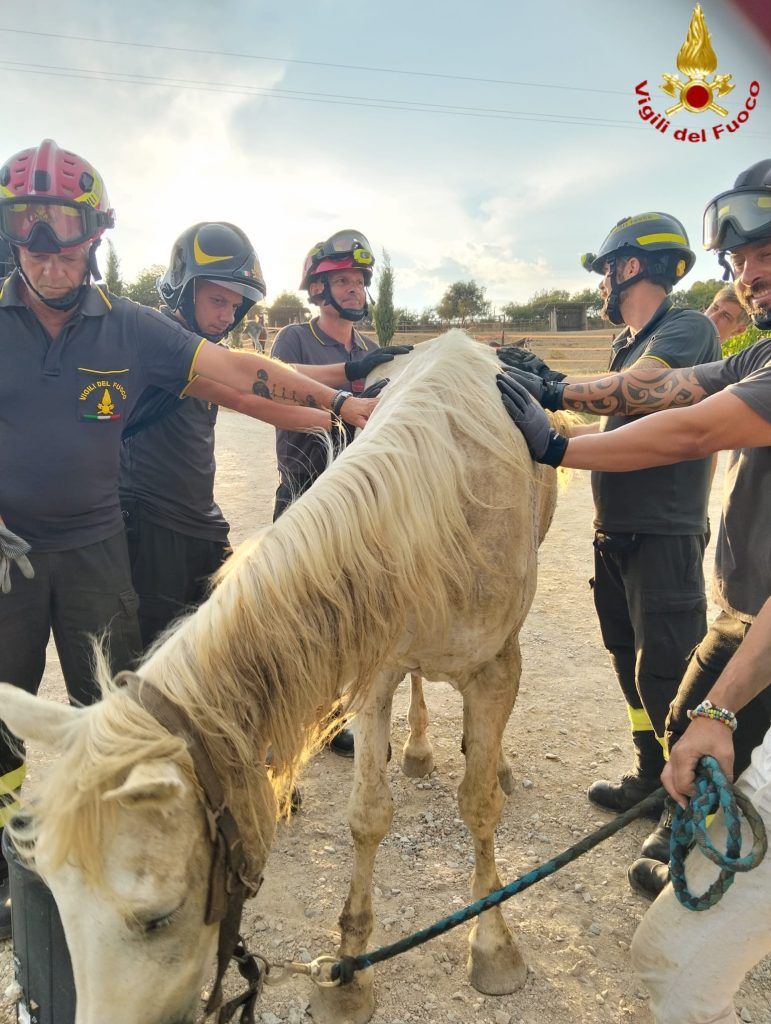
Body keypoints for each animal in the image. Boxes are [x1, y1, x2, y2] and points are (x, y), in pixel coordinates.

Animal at [0, 329, 569, 1024]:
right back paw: (417, 749)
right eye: (55, 892)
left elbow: (479, 806)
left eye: (158, 918)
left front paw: (493, 947)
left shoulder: (492, 670)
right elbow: (368, 815)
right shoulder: (375, 670)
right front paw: (347, 975)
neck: (443, 503)